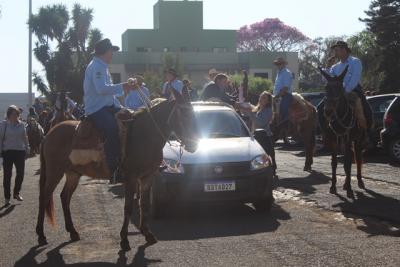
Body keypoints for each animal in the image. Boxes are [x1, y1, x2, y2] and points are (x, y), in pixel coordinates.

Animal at [35, 90, 198, 251]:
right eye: (184, 115)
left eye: (193, 114)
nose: (194, 145)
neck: (144, 135)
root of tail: (49, 134)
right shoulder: (131, 178)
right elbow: (128, 207)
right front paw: (124, 240)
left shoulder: (147, 177)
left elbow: (144, 204)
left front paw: (147, 234)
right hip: (54, 172)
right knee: (44, 197)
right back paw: (41, 235)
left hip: (73, 173)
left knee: (64, 197)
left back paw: (73, 232)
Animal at [320, 67, 368, 199]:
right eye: (326, 88)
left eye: (340, 88)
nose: (328, 111)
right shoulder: (333, 141)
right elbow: (334, 163)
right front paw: (333, 187)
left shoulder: (347, 140)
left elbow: (347, 164)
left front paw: (350, 190)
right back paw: (346, 184)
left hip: (358, 140)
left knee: (357, 158)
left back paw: (359, 181)